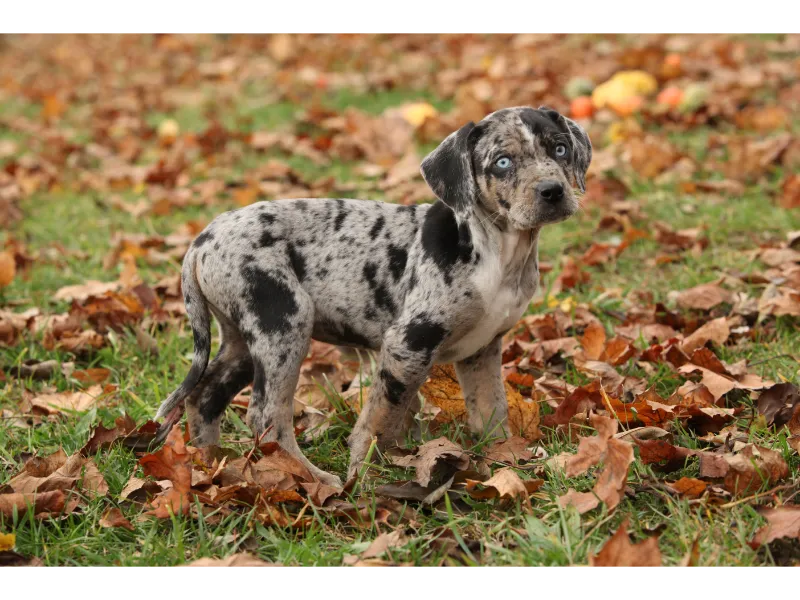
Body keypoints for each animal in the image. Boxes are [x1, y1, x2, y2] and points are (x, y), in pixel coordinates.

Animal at [156, 105, 592, 486]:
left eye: (559, 149)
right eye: (502, 162)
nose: (552, 191)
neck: (500, 253)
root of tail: (201, 241)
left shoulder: (481, 350)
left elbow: (491, 413)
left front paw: (505, 461)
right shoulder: (408, 343)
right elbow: (381, 417)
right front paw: (364, 475)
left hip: (244, 338)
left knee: (205, 397)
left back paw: (211, 465)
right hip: (283, 322)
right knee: (266, 417)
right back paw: (312, 480)